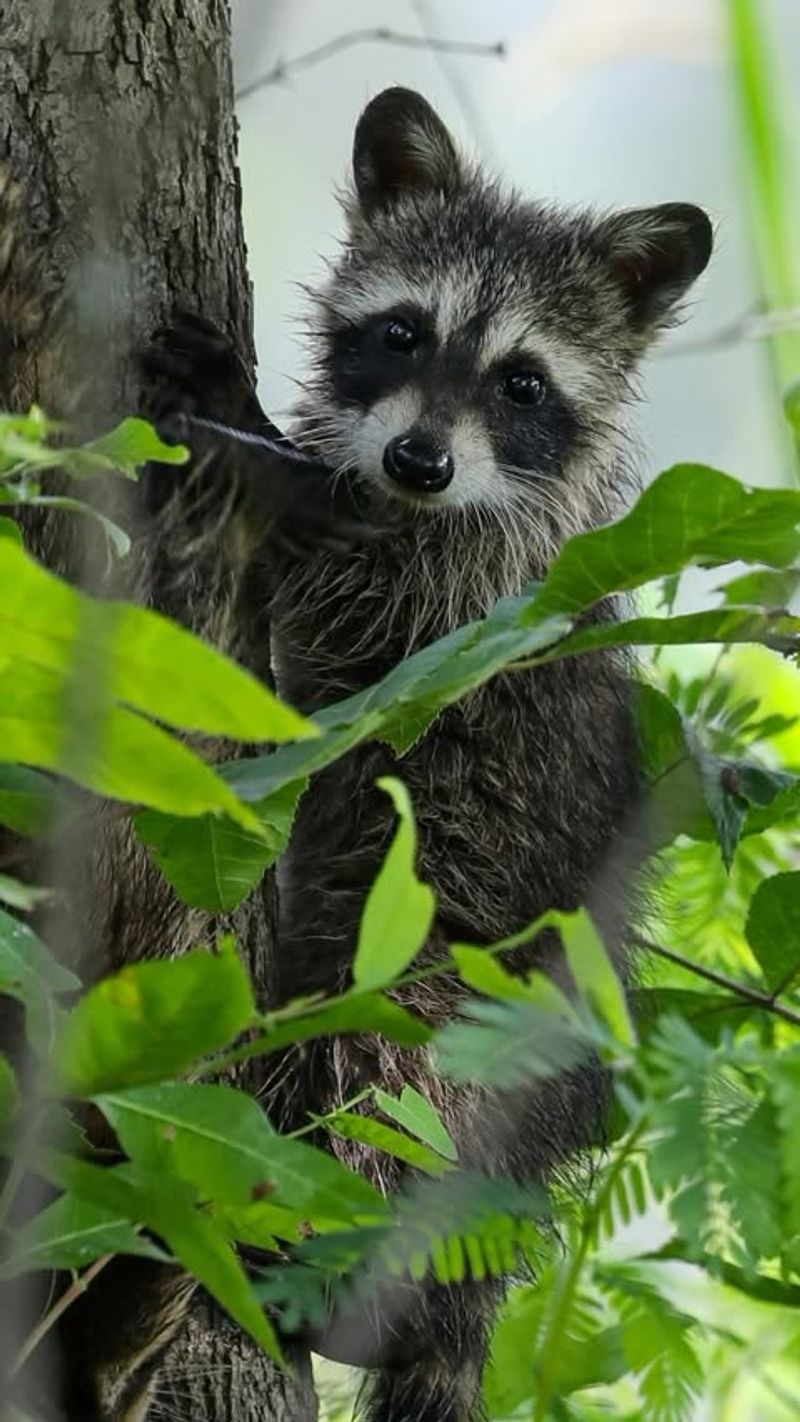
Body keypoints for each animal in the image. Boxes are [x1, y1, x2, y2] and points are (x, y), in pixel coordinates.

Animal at [138, 88, 713, 1421]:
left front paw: (256, 442)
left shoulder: (477, 601)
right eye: (402, 332)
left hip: (459, 984)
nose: (417, 461)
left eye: (521, 384)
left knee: (384, 1078)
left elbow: (356, 589)